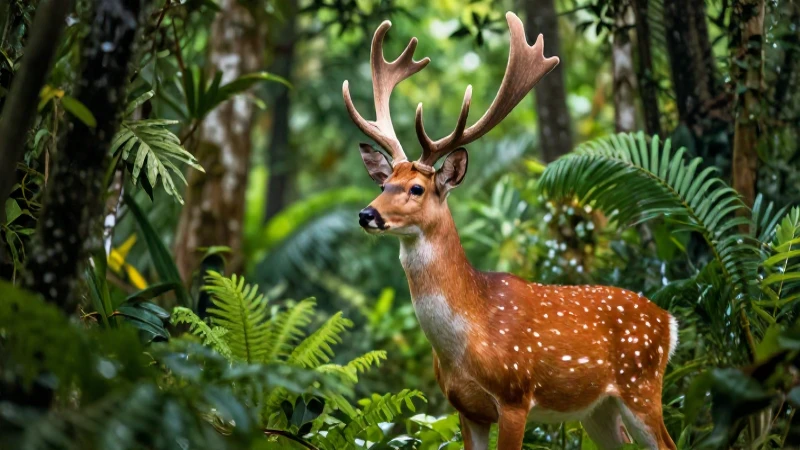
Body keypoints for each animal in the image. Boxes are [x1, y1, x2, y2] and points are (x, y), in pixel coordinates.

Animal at [342, 12, 679, 450]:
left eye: (416, 188)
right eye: (383, 185)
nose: (366, 214)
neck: (466, 338)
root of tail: (669, 322)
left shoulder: (515, 395)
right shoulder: (465, 408)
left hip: (641, 383)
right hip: (598, 409)